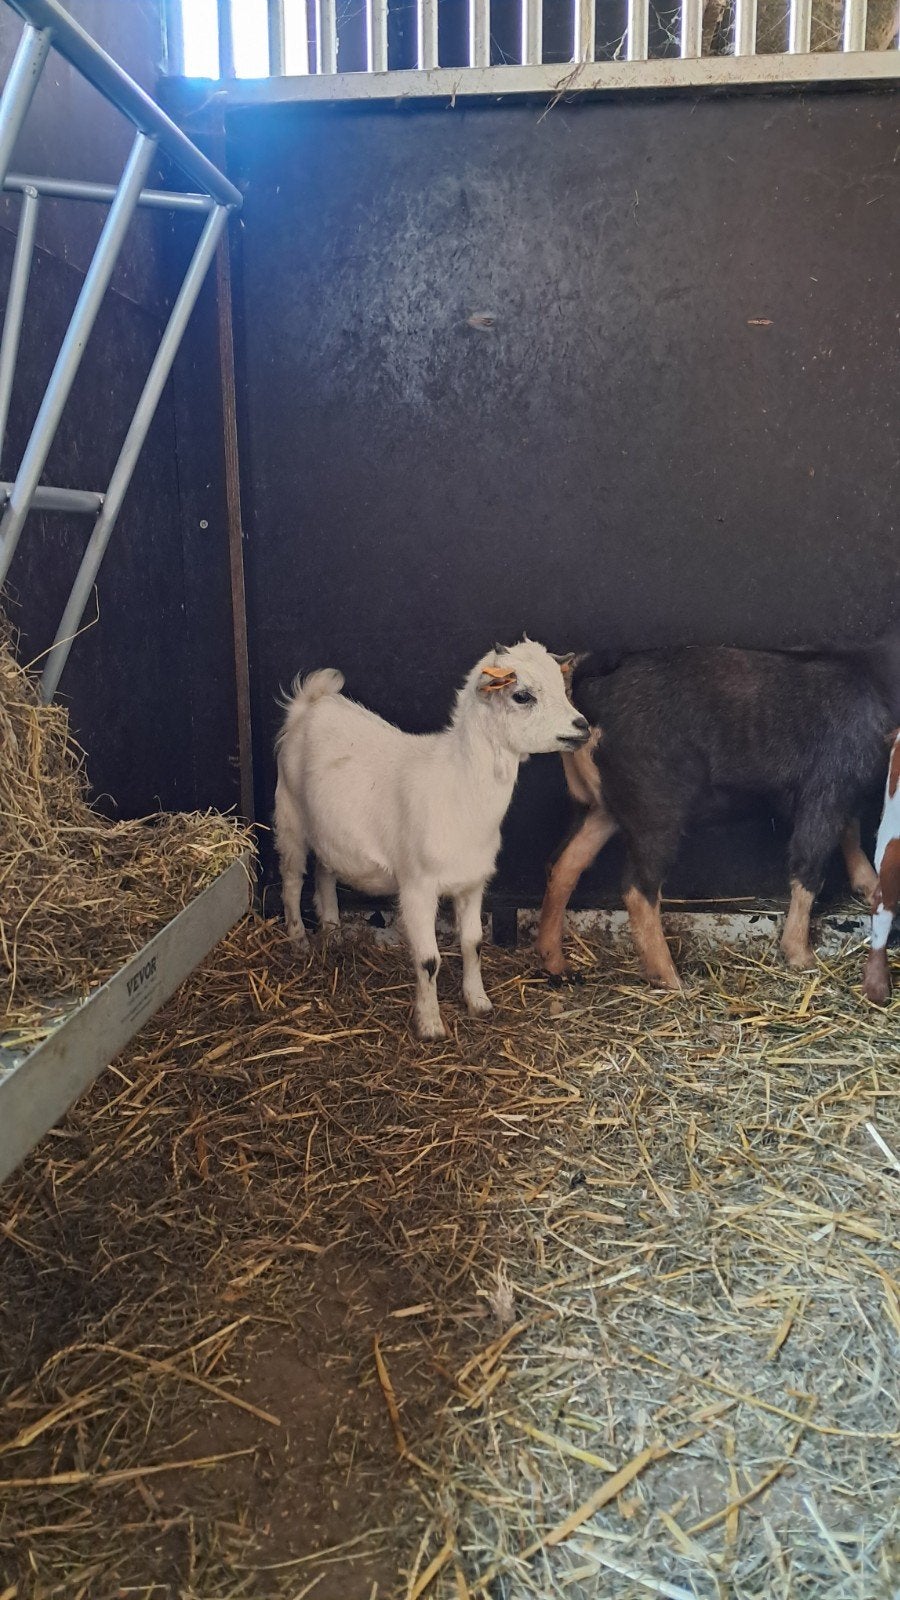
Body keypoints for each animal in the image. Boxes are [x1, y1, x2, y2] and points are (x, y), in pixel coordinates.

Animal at [275, 641, 589, 1039]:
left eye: (561, 686)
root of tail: (312, 703)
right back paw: (299, 941)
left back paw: (332, 932)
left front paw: (479, 1002)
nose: (582, 726)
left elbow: (473, 944)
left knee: (324, 873)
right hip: (289, 816)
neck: (458, 786)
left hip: (331, 831)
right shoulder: (417, 886)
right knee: (291, 881)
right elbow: (428, 960)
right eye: (522, 695)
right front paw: (430, 1024)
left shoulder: (472, 883)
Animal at [538, 634, 900, 990]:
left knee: (565, 864)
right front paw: (800, 956)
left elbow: (849, 831)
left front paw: (869, 885)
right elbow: (809, 865)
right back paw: (670, 979)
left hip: (598, 807)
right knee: (638, 888)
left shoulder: (843, 792)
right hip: (654, 810)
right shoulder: (827, 787)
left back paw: (556, 963)